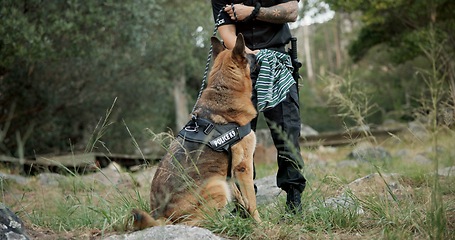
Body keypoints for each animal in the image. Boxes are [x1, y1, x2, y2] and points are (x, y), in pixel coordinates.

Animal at [132, 34, 260, 229]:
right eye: (247, 54)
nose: (258, 54)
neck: (223, 91)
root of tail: (163, 217)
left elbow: (242, 198)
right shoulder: (243, 167)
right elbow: (252, 201)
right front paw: (260, 224)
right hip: (217, 185)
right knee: (194, 222)